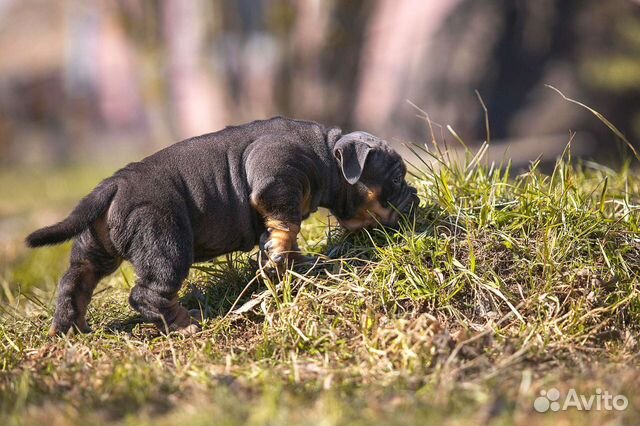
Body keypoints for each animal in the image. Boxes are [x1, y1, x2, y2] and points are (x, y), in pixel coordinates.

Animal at [27, 117, 420, 336]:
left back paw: (69, 328)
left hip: (95, 248)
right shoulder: (276, 179)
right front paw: (282, 254)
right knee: (146, 293)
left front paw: (294, 263)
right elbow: (286, 224)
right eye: (396, 178)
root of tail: (114, 185)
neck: (326, 154)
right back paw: (183, 324)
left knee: (75, 281)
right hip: (165, 244)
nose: (416, 198)